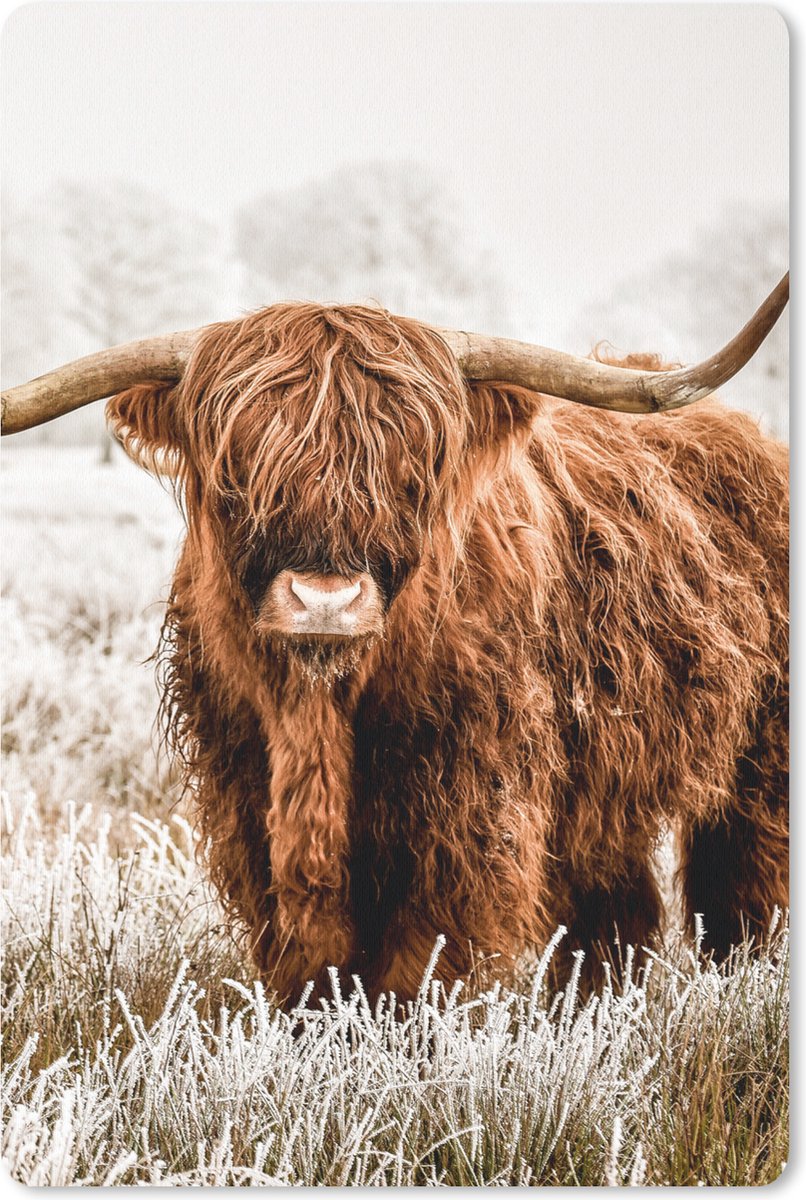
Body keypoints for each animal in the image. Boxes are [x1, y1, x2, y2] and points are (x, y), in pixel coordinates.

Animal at [2, 276, 789, 1006]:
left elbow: (425, 965)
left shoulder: (468, 806)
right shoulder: (246, 796)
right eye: (237, 471)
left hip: (761, 756)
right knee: (616, 907)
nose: (326, 602)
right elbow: (306, 963)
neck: (320, 716)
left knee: (744, 880)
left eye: (411, 471)